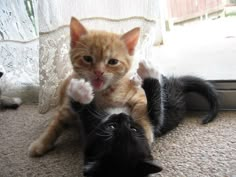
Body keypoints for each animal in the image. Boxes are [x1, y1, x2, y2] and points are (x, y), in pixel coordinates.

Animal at [28, 17, 152, 156]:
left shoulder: (138, 95)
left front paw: (145, 132)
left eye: (113, 62)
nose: (98, 72)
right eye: (87, 58)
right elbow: (55, 125)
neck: (101, 94)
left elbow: (141, 110)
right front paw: (41, 143)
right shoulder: (67, 106)